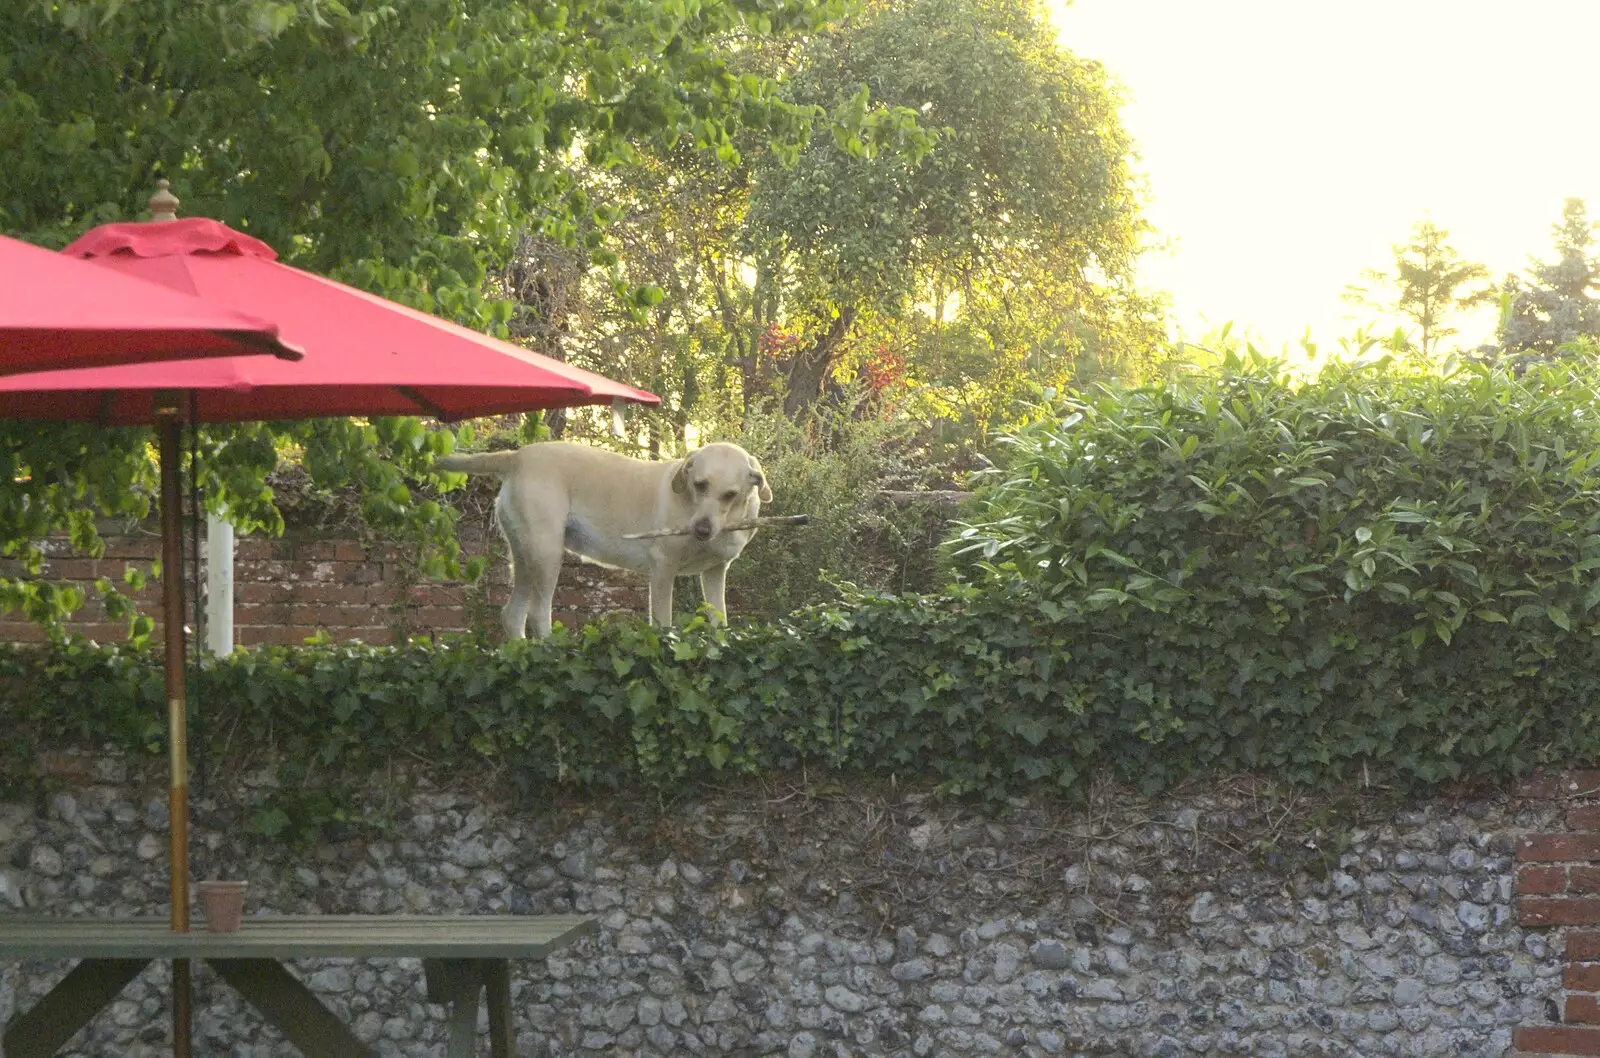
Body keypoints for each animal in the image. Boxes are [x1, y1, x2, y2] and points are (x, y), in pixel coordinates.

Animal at [432, 438, 768, 637]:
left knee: (513, 614)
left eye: (730, 495)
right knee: (537, 612)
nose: (701, 530)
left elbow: (720, 620)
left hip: (524, 556)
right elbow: (663, 621)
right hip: (546, 553)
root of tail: (517, 456)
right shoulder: (663, 566)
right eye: (699, 485)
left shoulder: (714, 572)